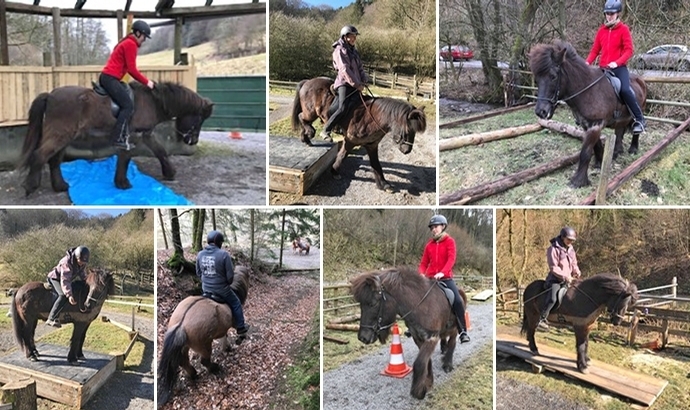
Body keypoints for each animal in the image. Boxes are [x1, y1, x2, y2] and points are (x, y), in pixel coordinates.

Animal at [18, 82, 212, 197]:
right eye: (199, 119)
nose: (193, 141)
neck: (152, 102)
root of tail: (50, 95)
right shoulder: (132, 135)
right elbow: (125, 159)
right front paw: (122, 183)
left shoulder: (146, 134)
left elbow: (160, 151)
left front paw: (170, 173)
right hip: (60, 134)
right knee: (40, 156)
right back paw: (30, 186)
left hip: (64, 137)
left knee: (54, 160)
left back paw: (60, 186)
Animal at [157, 266, 250, 406]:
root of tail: (181, 323)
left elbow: (224, 336)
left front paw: (227, 348)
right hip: (203, 345)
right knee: (204, 361)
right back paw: (214, 368)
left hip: (185, 345)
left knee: (183, 361)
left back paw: (193, 374)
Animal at [286, 77, 424, 192]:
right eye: (407, 129)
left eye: (415, 131)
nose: (407, 150)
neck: (371, 117)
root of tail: (308, 82)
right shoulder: (350, 141)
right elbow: (342, 156)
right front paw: (335, 172)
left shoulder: (371, 145)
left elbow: (376, 164)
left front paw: (384, 184)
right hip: (310, 112)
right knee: (302, 117)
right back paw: (312, 133)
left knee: (304, 120)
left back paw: (306, 139)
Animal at [346, 268, 464, 398]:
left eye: (373, 303)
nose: (362, 337)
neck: (421, 306)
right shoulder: (417, 337)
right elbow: (426, 360)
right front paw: (428, 381)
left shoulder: (431, 338)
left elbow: (419, 362)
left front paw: (419, 390)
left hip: (455, 329)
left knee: (452, 343)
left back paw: (448, 364)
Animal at [528, 40, 644, 188]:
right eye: (537, 79)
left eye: (553, 76)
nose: (541, 112)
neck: (587, 90)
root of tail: (641, 80)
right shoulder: (587, 125)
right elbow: (596, 146)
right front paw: (599, 163)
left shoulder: (595, 124)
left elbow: (586, 152)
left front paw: (578, 181)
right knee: (619, 131)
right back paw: (617, 151)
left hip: (638, 112)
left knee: (636, 130)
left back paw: (633, 149)